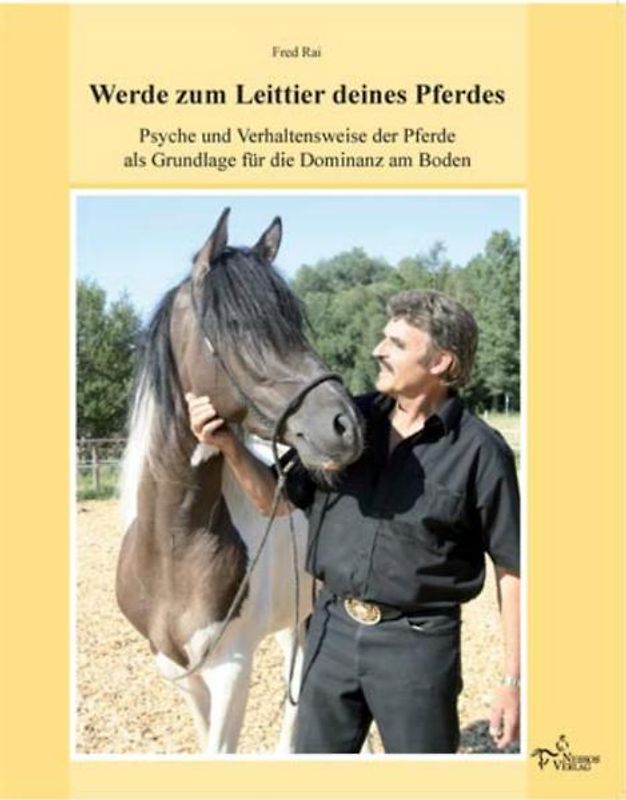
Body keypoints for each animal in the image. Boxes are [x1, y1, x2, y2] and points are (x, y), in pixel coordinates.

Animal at [115, 208, 364, 754]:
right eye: (235, 325)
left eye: (293, 322)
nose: (346, 425)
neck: (175, 546)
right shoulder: (183, 674)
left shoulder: (231, 669)